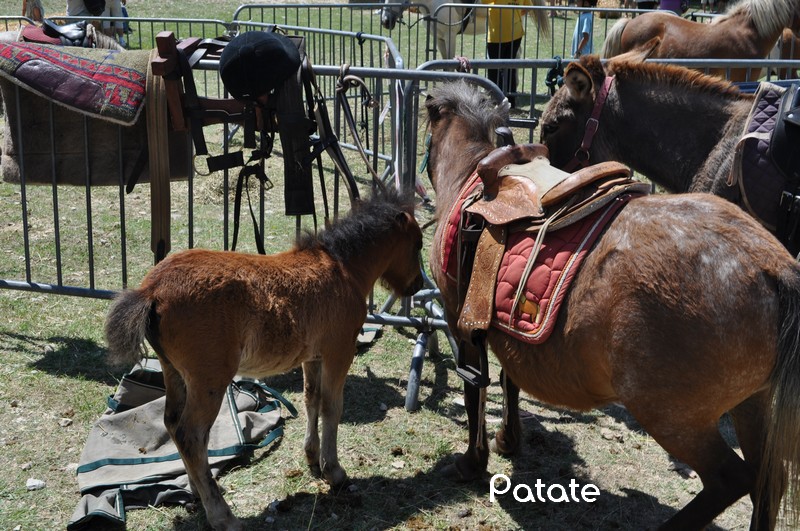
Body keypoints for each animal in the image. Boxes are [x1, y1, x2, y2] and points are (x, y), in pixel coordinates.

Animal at [104, 188, 424, 531]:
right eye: (417, 244)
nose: (418, 285)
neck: (343, 268)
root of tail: (151, 290)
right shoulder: (340, 350)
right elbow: (332, 407)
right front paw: (334, 471)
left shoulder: (312, 356)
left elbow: (312, 399)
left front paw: (312, 458)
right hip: (210, 379)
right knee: (191, 435)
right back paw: (223, 515)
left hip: (174, 372)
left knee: (173, 423)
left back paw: (197, 492)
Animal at [428, 80, 800, 531]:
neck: (472, 174)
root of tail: (773, 266)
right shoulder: (504, 328)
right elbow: (509, 380)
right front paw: (507, 440)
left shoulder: (460, 320)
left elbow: (474, 393)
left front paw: (473, 461)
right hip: (753, 404)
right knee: (767, 480)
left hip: (674, 417)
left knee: (731, 479)